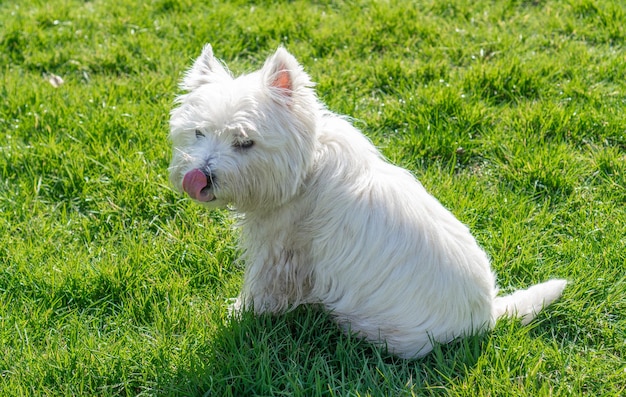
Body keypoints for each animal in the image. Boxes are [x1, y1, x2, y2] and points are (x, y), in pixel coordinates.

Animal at [169, 44, 564, 358]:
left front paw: (240, 312)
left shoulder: (280, 252)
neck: (305, 171)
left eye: (245, 142)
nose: (199, 177)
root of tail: (485, 317)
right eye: (199, 132)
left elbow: (260, 289)